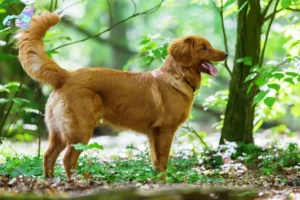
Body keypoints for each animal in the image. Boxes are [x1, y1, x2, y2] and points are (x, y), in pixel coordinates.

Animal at [17, 12, 227, 180]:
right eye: (203, 48)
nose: (226, 53)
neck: (178, 76)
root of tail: (67, 75)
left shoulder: (153, 133)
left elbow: (156, 162)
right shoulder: (165, 130)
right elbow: (164, 162)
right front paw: (165, 182)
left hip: (59, 132)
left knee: (48, 156)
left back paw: (50, 181)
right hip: (81, 130)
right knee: (68, 159)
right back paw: (75, 183)